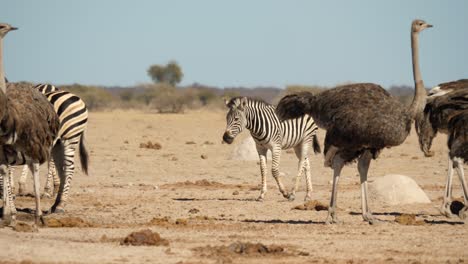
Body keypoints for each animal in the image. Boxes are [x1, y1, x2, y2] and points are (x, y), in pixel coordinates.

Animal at [14, 83, 89, 213]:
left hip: (69, 136)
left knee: (68, 167)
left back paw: (59, 203)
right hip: (57, 141)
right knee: (60, 166)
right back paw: (55, 202)